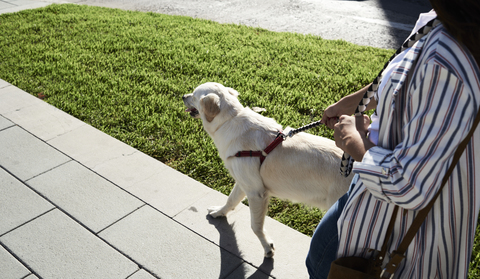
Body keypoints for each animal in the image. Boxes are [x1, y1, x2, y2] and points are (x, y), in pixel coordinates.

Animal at [182, 82, 350, 258]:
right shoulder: (245, 182)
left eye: (194, 95)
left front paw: (267, 247)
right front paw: (219, 212)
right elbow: (231, 200)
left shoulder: (257, 193)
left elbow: (255, 226)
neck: (229, 120)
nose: (183, 96)